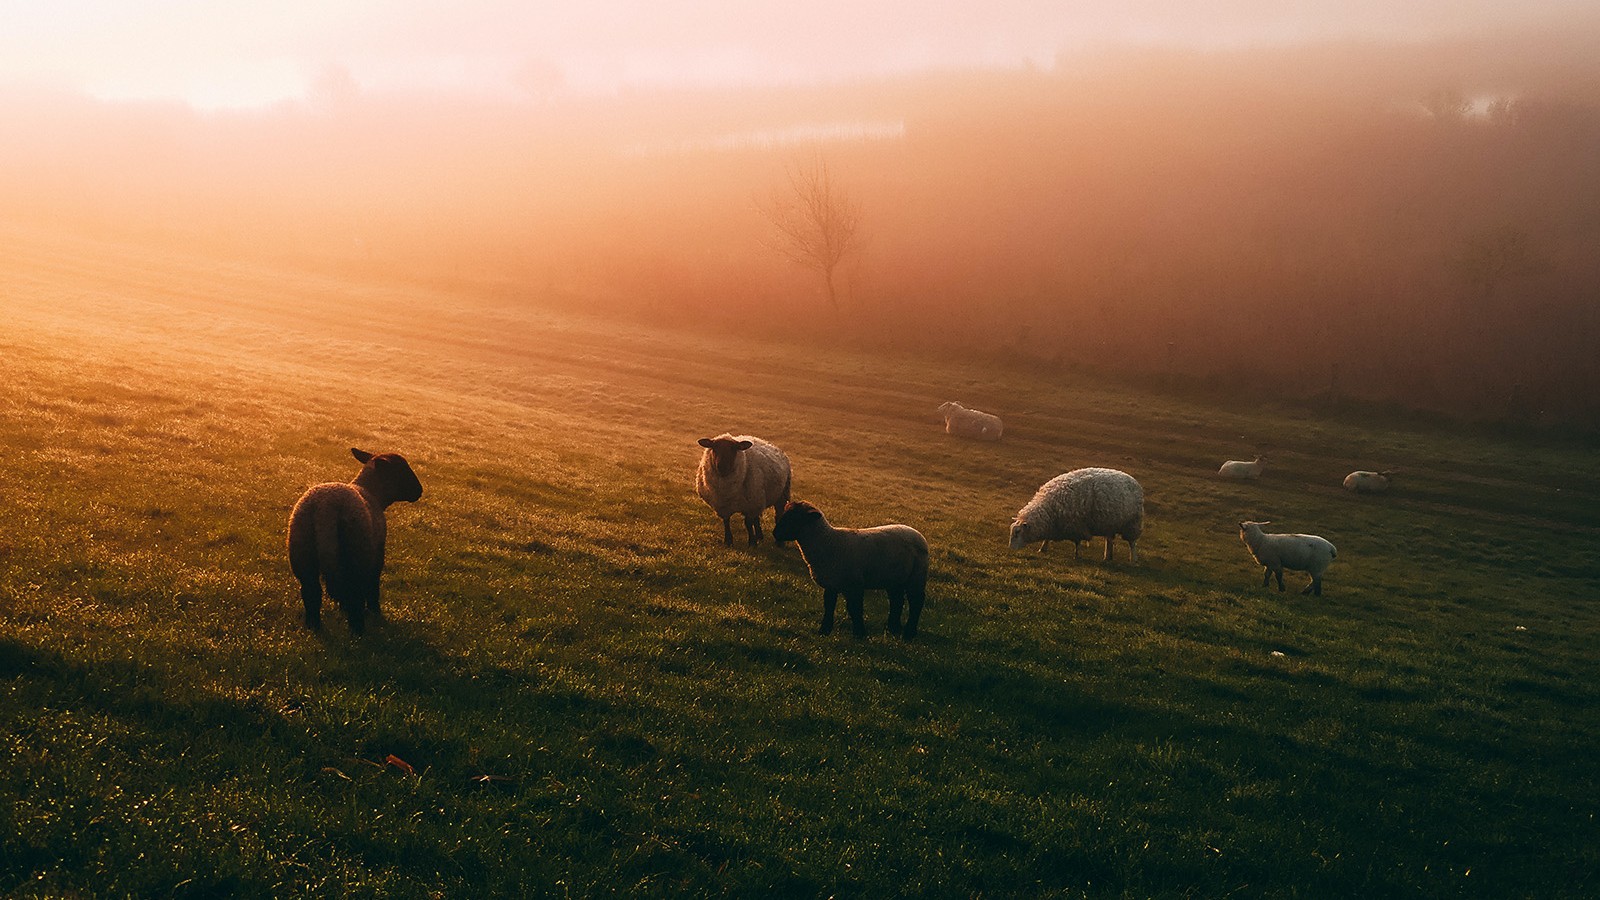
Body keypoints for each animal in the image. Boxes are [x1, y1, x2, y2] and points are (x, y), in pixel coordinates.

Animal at [288, 445, 422, 630]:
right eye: (401, 470)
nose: (419, 491)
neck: (372, 493)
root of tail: (325, 508)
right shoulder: (377, 554)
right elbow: (373, 584)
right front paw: (375, 612)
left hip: (302, 551)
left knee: (311, 592)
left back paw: (314, 627)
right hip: (357, 551)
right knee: (354, 593)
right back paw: (358, 629)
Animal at [771, 496, 934, 637]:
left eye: (796, 518)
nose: (775, 533)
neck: (828, 541)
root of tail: (917, 533)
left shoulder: (854, 584)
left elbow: (855, 609)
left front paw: (859, 634)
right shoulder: (832, 584)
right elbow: (829, 606)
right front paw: (824, 631)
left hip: (917, 575)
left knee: (916, 602)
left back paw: (909, 633)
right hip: (895, 578)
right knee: (897, 601)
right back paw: (893, 628)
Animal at [1004, 464, 1145, 557]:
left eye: (1017, 533)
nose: (1010, 549)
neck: (1049, 509)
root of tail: (1134, 480)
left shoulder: (1076, 526)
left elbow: (1077, 542)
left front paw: (1076, 555)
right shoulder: (1055, 524)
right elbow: (1047, 538)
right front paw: (1042, 549)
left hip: (1132, 523)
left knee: (1132, 543)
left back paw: (1133, 560)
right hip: (1110, 524)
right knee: (1109, 541)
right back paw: (1107, 558)